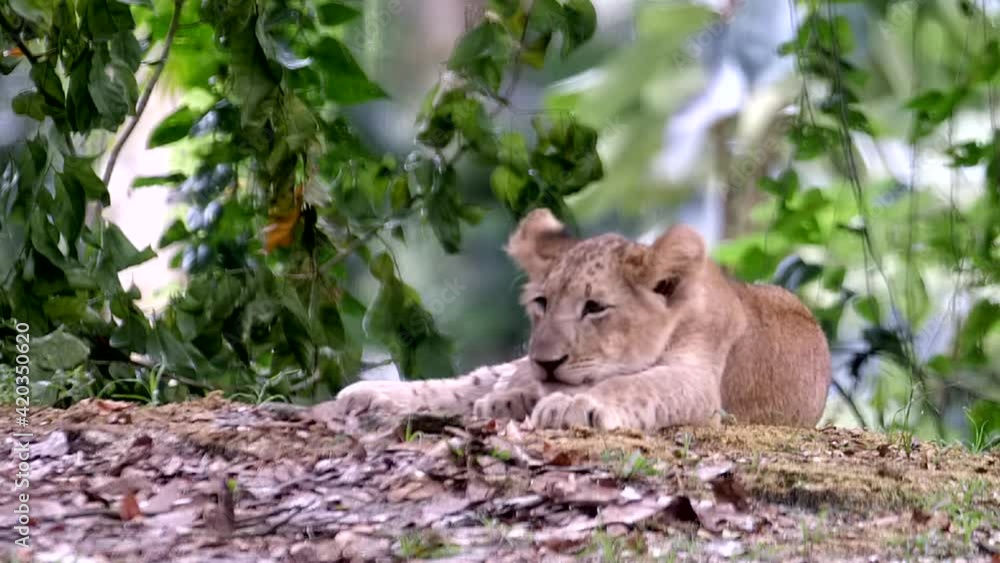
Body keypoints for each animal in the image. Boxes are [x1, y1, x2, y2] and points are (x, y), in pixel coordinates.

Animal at [323, 208, 831, 430]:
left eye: (595, 308)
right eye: (542, 303)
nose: (547, 361)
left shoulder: (699, 381)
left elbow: (634, 384)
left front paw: (572, 406)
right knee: (475, 382)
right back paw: (369, 395)